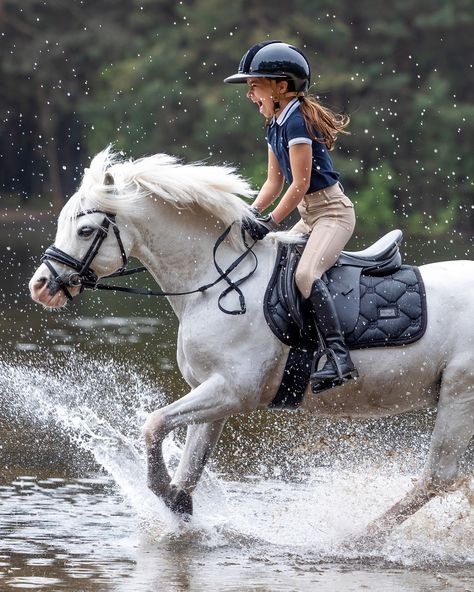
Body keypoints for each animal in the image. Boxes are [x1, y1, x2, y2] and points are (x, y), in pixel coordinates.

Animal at [29, 147, 474, 532]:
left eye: (85, 230)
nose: (40, 286)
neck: (217, 281)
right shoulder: (212, 393)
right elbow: (190, 465)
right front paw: (179, 505)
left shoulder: (233, 391)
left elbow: (153, 425)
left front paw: (162, 490)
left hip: (459, 394)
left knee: (437, 476)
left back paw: (359, 538)